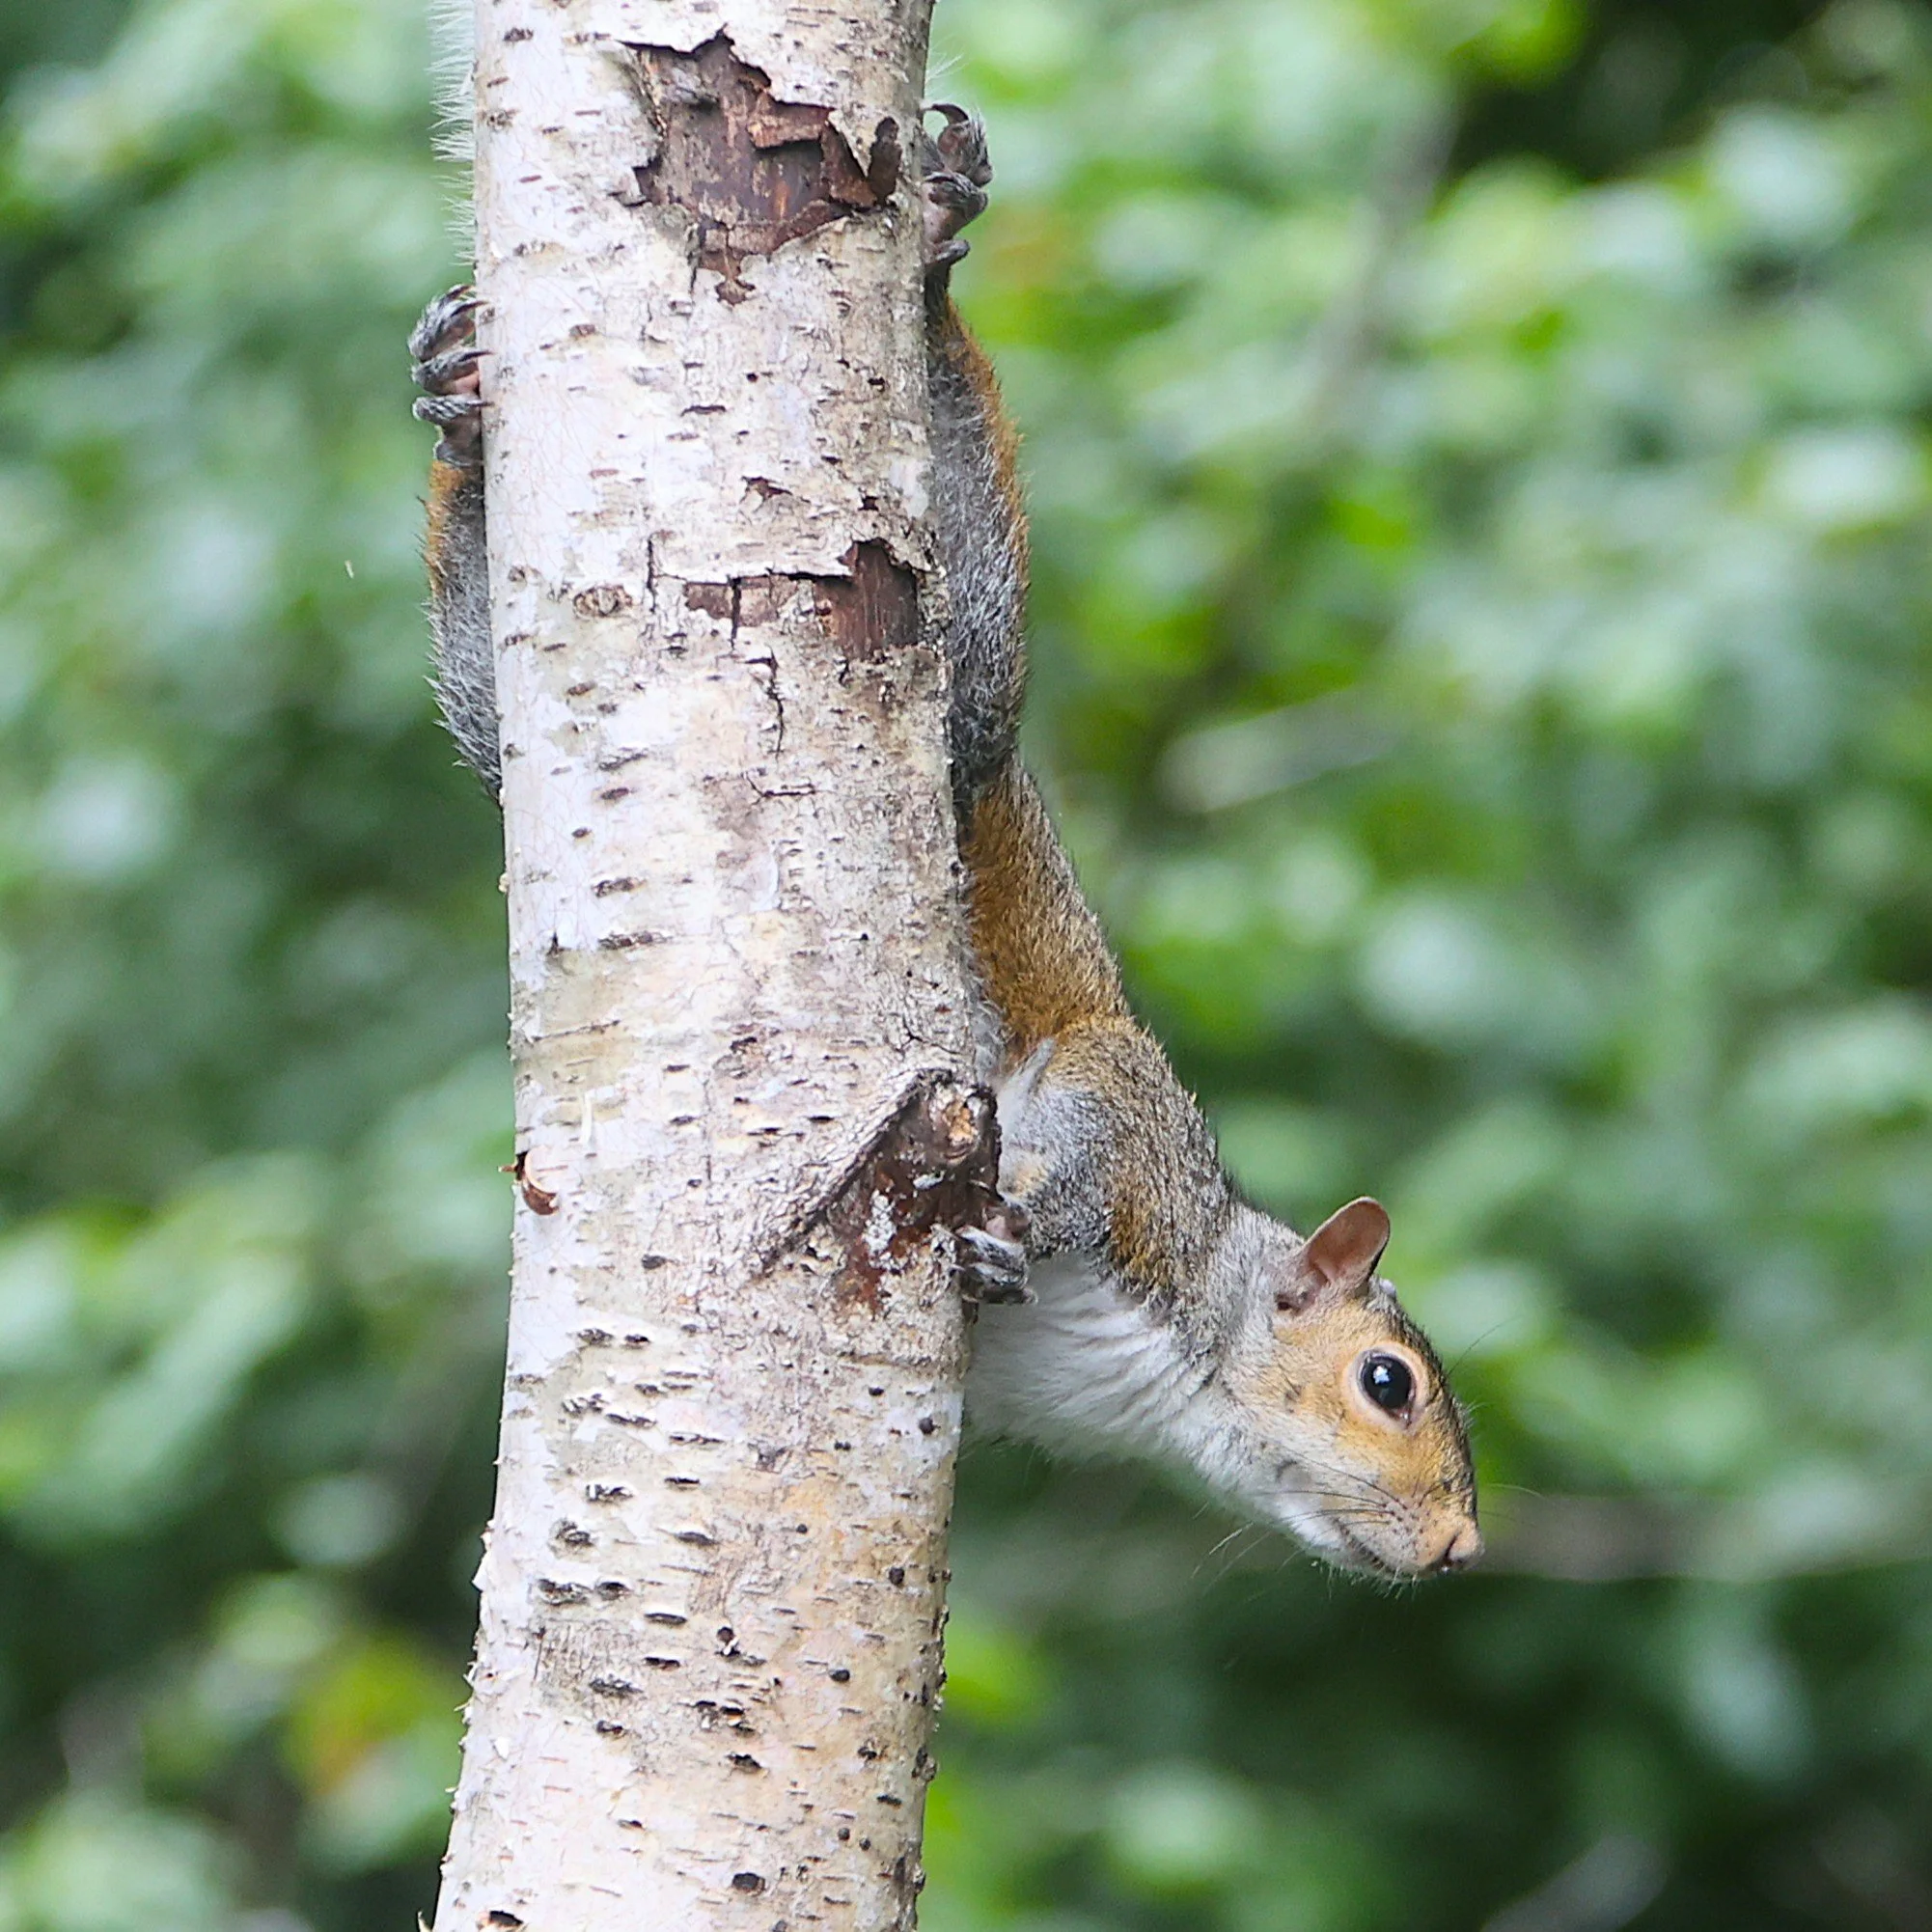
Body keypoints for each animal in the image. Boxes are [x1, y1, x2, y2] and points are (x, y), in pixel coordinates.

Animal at [411, 107, 1481, 1581]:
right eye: (1388, 1382)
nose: (1460, 1548)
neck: (1179, 1365)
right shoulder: (1140, 1140)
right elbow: (1085, 1113)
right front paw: (1017, 1214)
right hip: (963, 712)